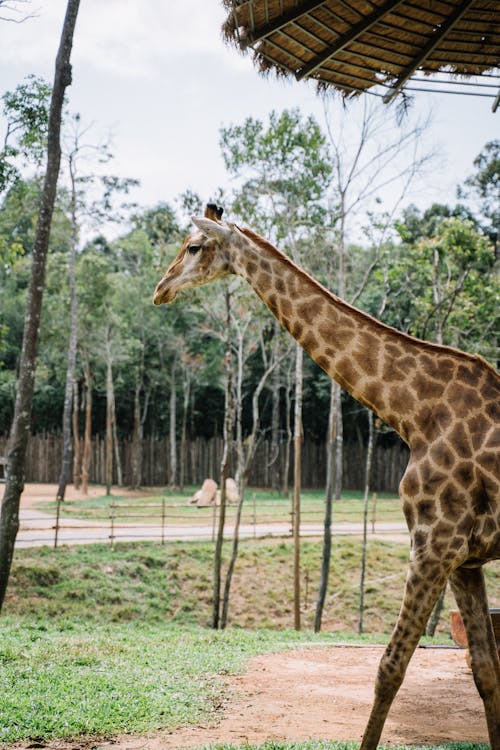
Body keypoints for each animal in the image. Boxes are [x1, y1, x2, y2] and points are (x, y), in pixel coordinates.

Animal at [153, 203, 500, 748]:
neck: (416, 413)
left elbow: (390, 668)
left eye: (193, 246)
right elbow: (485, 672)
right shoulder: (466, 559)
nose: (160, 288)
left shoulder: (434, 544)